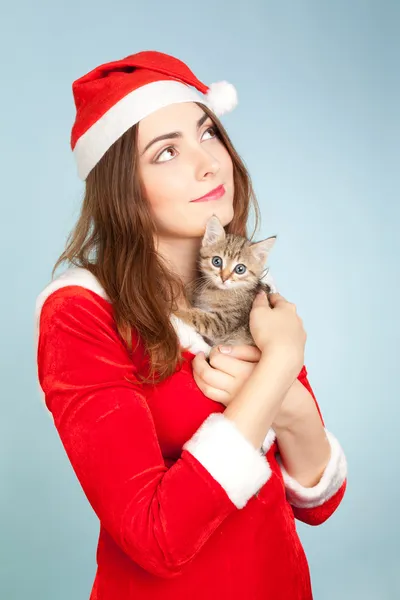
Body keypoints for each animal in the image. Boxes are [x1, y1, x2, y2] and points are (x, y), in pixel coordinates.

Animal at [175, 214, 278, 346]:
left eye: (240, 269)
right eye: (216, 261)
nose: (224, 278)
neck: (217, 292)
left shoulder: (223, 323)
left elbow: (198, 317)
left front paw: (177, 311)